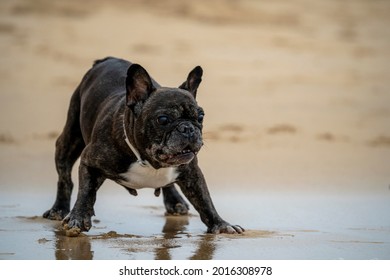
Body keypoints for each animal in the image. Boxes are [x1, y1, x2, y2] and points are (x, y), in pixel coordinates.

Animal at [43, 58, 244, 235]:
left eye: (201, 117)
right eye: (163, 119)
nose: (187, 128)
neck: (147, 161)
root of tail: (105, 59)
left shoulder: (192, 173)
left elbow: (204, 200)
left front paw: (220, 224)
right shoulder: (89, 161)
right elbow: (85, 193)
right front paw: (78, 217)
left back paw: (175, 201)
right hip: (70, 139)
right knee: (65, 178)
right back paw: (58, 209)